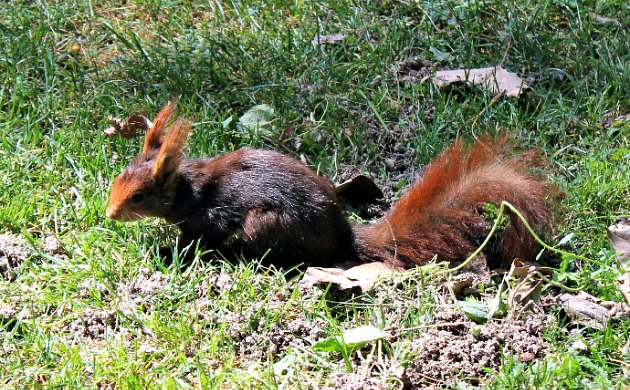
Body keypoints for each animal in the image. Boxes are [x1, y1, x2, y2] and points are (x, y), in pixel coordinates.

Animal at [106, 100, 560, 270]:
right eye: (117, 179)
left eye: (140, 195)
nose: (110, 214)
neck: (188, 191)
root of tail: (344, 238)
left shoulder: (213, 215)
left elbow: (201, 238)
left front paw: (171, 251)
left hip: (267, 225)